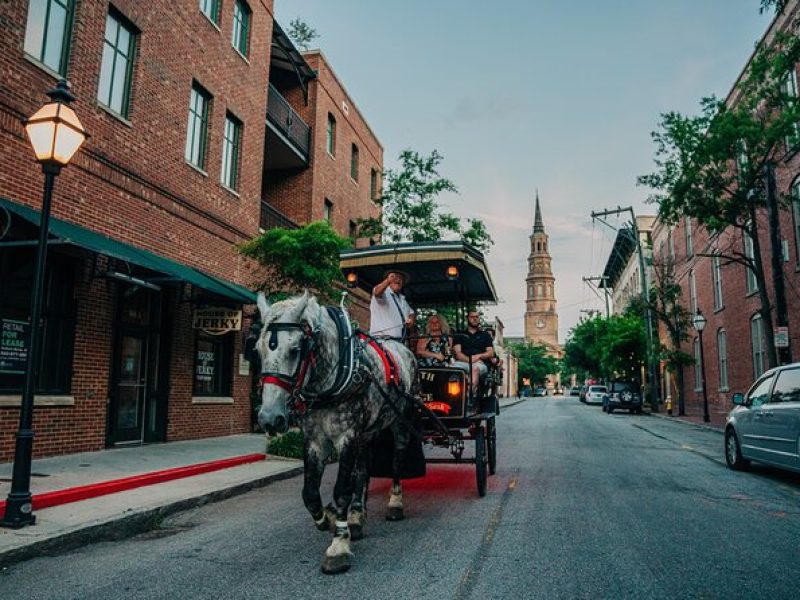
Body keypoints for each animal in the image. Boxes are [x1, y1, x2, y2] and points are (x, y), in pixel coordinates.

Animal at [255, 292, 418, 576]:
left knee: (397, 459)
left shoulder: (347, 435)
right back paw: (356, 515)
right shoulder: (314, 440)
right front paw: (329, 519)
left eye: (295, 350)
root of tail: (402, 347)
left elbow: (341, 489)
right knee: (364, 467)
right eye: (257, 349)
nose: (269, 418)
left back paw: (394, 503)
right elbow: (310, 493)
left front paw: (339, 545)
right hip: (368, 430)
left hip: (399, 419)